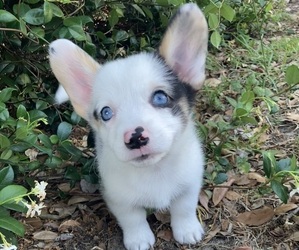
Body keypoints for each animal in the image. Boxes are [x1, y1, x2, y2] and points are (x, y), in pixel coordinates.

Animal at [49, 3, 209, 250]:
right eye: (106, 113)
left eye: (160, 97)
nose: (135, 137)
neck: (154, 171)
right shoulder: (119, 198)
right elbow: (133, 219)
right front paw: (139, 239)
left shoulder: (190, 184)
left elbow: (183, 208)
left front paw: (187, 230)